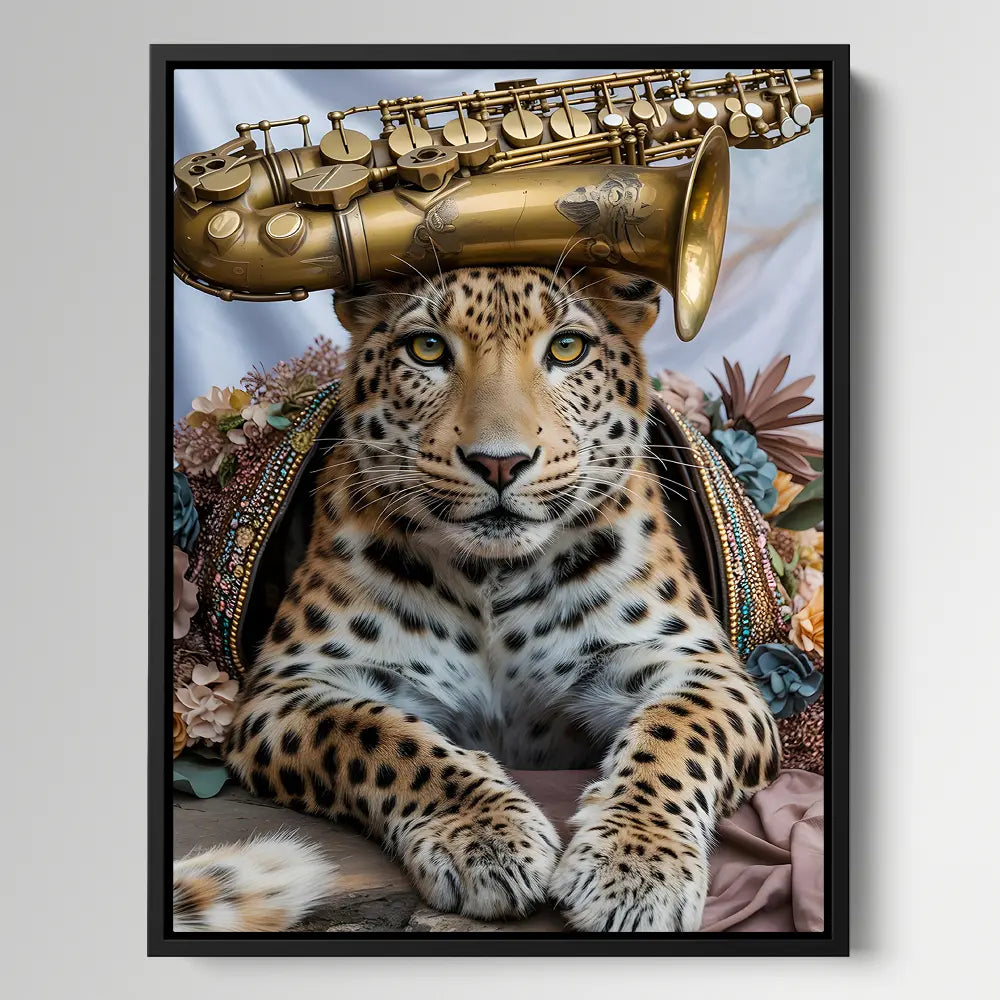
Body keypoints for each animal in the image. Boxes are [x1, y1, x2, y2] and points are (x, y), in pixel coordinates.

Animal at [181, 265, 781, 933]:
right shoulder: (290, 685)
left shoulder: (698, 664)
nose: (500, 463)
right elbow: (380, 735)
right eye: (427, 348)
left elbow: (678, 735)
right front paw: (485, 838)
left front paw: (636, 867)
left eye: (566, 348)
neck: (493, 576)